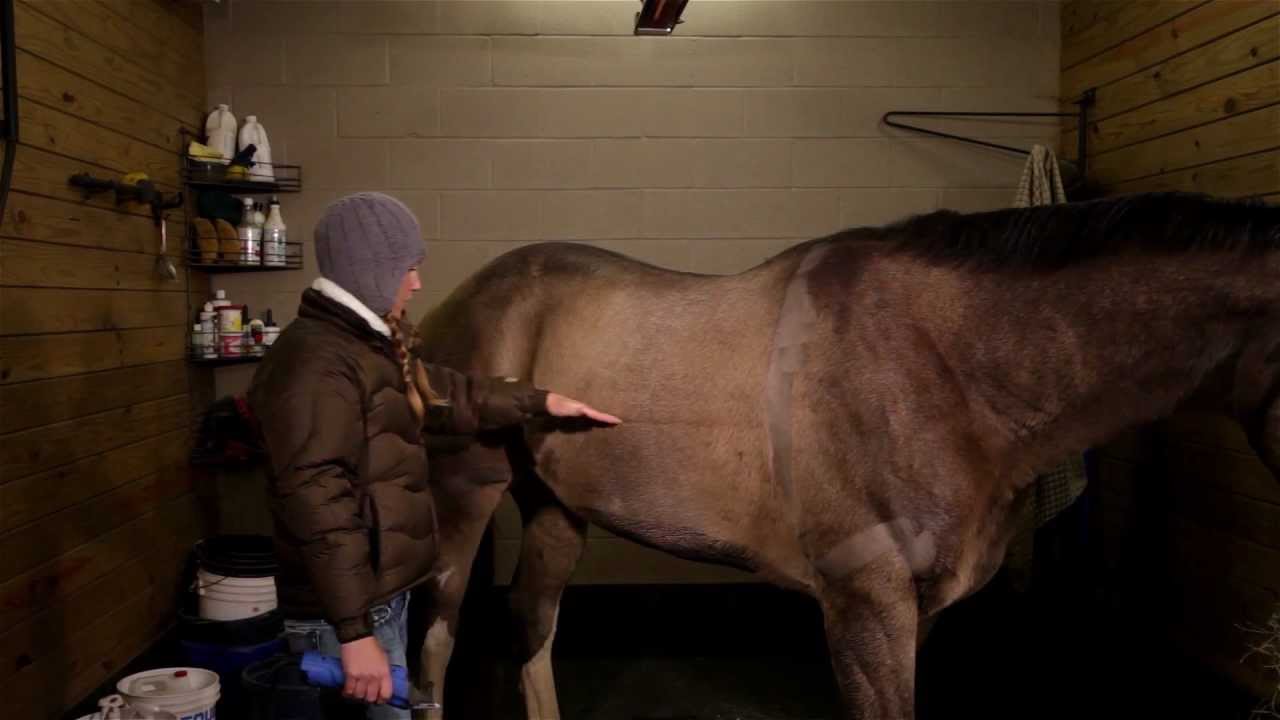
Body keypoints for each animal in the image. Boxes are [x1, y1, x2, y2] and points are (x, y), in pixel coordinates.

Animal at [408, 192, 1280, 720]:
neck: (946, 365)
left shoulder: (916, 610)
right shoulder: (864, 601)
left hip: (555, 506)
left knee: (532, 623)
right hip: (461, 494)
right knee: (436, 638)